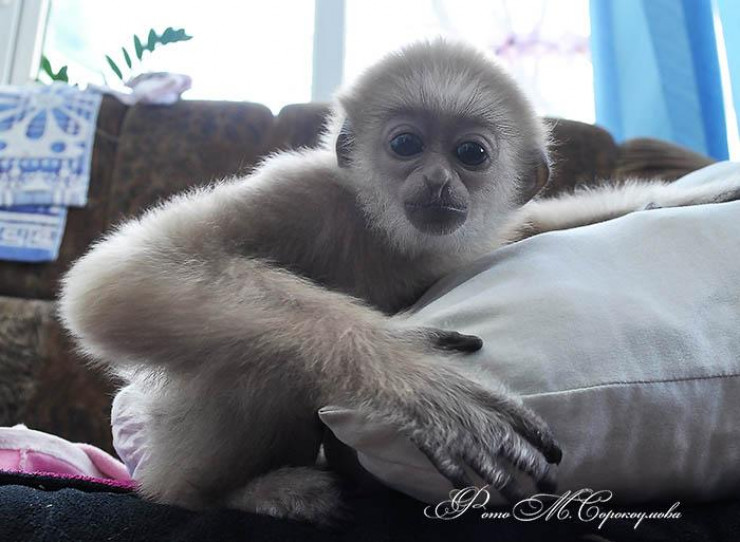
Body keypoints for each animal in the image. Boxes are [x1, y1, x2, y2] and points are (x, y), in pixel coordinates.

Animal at [59, 40, 740, 524]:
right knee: (260, 356)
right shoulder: (302, 188)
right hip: (175, 446)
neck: (384, 234)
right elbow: (122, 274)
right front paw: (414, 376)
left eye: (471, 154)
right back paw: (238, 493)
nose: (436, 179)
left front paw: (696, 195)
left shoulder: (490, 230)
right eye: (406, 144)